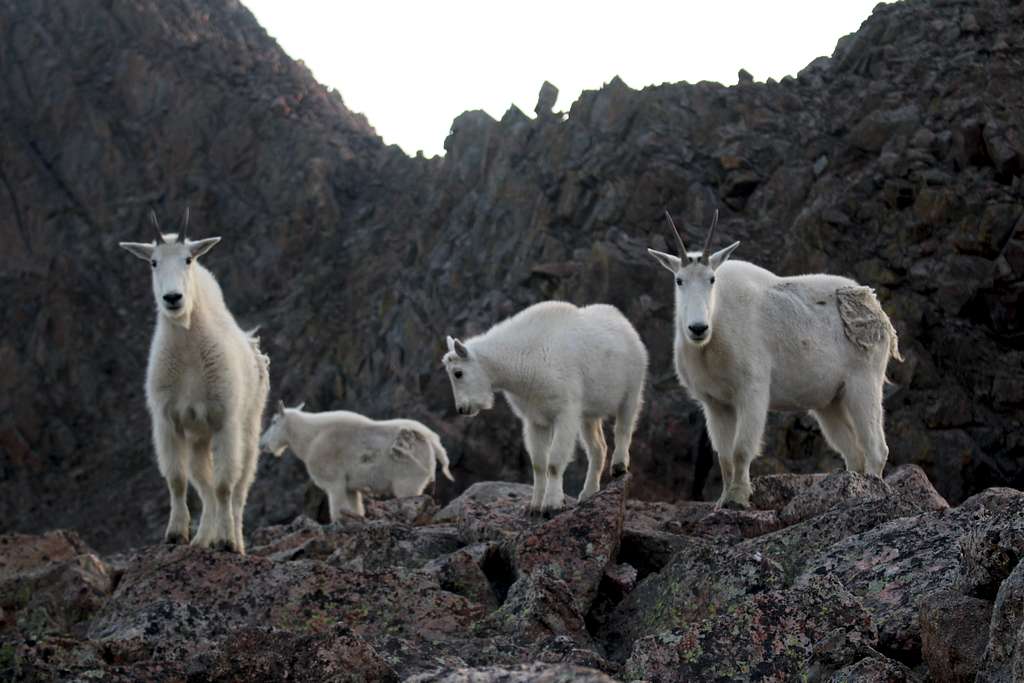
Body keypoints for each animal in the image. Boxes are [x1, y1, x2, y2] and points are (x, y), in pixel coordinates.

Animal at [118, 209, 270, 557]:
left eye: (188, 259)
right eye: (153, 262)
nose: (173, 298)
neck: (188, 351)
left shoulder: (226, 421)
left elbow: (225, 485)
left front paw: (227, 542)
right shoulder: (167, 421)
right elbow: (177, 479)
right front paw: (176, 534)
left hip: (249, 428)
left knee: (238, 490)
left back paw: (235, 539)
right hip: (199, 438)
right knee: (205, 484)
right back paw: (203, 539)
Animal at [262, 401, 454, 518]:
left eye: (273, 422)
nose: (262, 443)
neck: (310, 438)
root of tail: (432, 442)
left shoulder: (334, 481)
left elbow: (337, 509)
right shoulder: (350, 487)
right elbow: (355, 508)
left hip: (407, 478)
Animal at [440, 301, 647, 516]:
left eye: (458, 373)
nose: (462, 409)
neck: (522, 360)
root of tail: (624, 323)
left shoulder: (565, 412)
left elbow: (554, 462)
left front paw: (552, 504)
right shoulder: (535, 419)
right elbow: (539, 463)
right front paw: (534, 506)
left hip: (632, 387)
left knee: (624, 426)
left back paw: (619, 466)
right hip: (588, 413)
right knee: (597, 447)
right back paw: (588, 493)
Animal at [647, 211, 905, 507]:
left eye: (712, 279)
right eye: (679, 280)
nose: (698, 328)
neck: (714, 333)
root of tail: (877, 309)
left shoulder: (752, 390)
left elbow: (741, 449)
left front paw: (739, 498)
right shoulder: (715, 403)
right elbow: (724, 456)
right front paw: (723, 501)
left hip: (864, 381)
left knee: (876, 449)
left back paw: (873, 491)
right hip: (830, 401)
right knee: (854, 452)